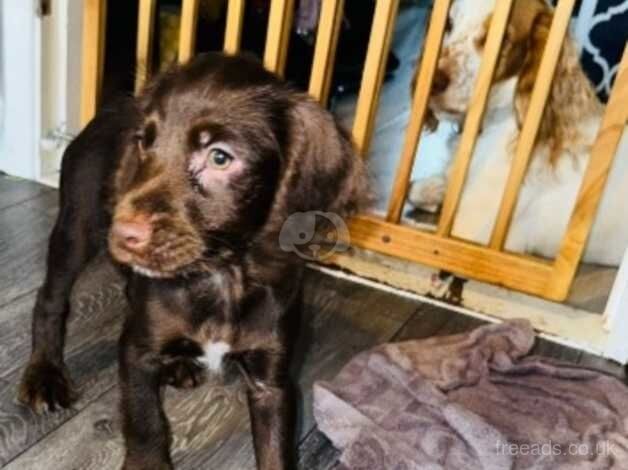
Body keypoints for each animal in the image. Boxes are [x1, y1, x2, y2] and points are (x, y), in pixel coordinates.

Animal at [18, 53, 368, 470]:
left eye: (219, 157)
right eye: (144, 142)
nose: (122, 233)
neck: (222, 274)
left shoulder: (274, 381)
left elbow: (275, 452)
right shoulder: (136, 355)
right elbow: (146, 425)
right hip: (77, 227)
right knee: (50, 298)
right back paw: (45, 374)